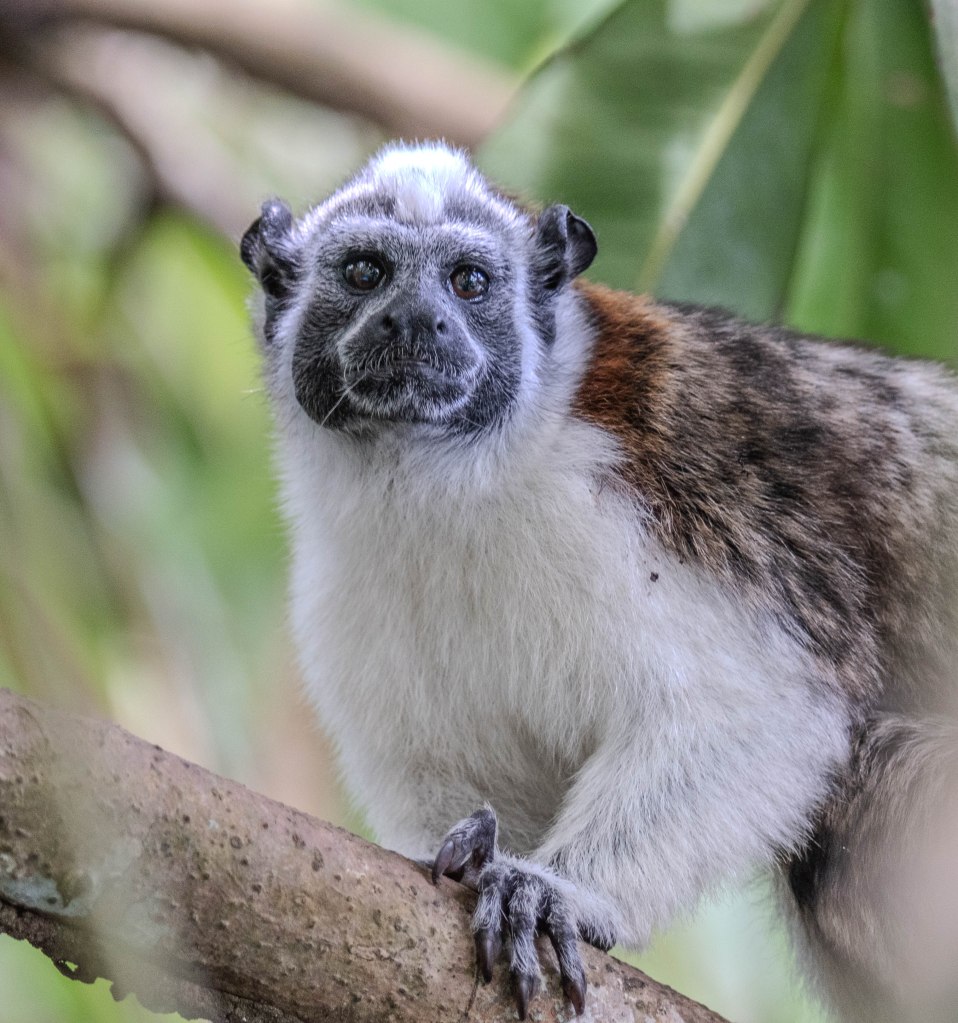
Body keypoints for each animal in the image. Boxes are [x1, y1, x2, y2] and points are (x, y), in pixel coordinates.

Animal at [241, 140, 958, 1021]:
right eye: (366, 272)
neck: (449, 480)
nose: (413, 321)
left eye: (468, 282)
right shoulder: (344, 594)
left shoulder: (667, 502)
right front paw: (479, 854)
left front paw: (557, 892)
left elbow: (764, 707)